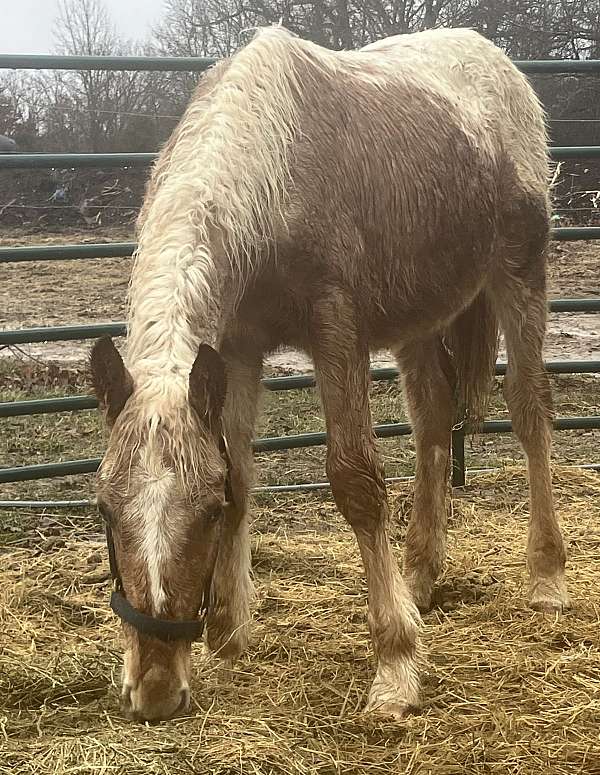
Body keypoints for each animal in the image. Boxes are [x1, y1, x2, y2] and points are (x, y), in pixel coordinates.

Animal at [89, 25, 568, 728]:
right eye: (103, 507)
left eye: (205, 511)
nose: (152, 691)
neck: (274, 168)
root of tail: (496, 61)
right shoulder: (236, 350)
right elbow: (243, 468)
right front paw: (231, 634)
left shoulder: (337, 333)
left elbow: (356, 482)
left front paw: (396, 666)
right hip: (421, 318)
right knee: (433, 418)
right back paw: (418, 578)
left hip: (518, 274)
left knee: (531, 411)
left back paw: (547, 578)